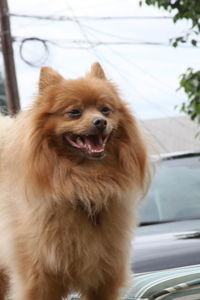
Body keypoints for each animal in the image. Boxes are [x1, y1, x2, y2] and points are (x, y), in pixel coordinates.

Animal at [0, 62, 148, 298]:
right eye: (74, 112)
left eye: (105, 109)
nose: (100, 121)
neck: (84, 185)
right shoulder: (39, 281)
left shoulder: (103, 279)